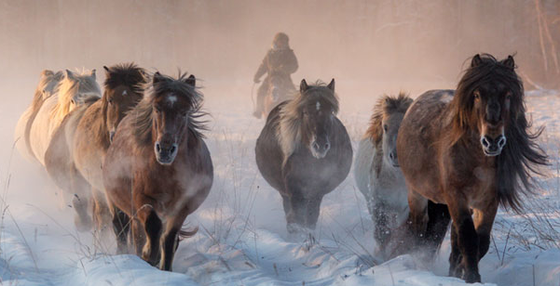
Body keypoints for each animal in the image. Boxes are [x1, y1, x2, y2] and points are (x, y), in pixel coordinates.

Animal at [103, 71, 212, 270]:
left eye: (184, 112)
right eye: (157, 108)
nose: (165, 150)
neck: (167, 174)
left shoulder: (181, 207)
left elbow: (169, 240)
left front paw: (165, 269)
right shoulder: (141, 199)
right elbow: (153, 227)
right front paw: (148, 255)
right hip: (116, 201)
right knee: (123, 228)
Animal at [256, 79, 352, 233]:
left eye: (331, 112)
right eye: (305, 112)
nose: (320, 146)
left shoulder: (317, 191)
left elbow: (311, 219)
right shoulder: (295, 191)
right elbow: (297, 219)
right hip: (285, 192)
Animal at [356, 92, 414, 256]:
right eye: (385, 126)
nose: (395, 156)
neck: (396, 181)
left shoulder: (404, 209)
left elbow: (398, 231)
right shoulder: (378, 206)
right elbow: (382, 234)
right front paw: (380, 256)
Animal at [394, 54, 548, 284]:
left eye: (508, 94)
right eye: (476, 94)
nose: (492, 141)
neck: (477, 161)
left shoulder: (488, 202)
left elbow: (480, 241)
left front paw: (462, 270)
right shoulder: (457, 197)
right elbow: (468, 238)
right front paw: (471, 276)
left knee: (453, 238)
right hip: (417, 194)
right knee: (419, 229)